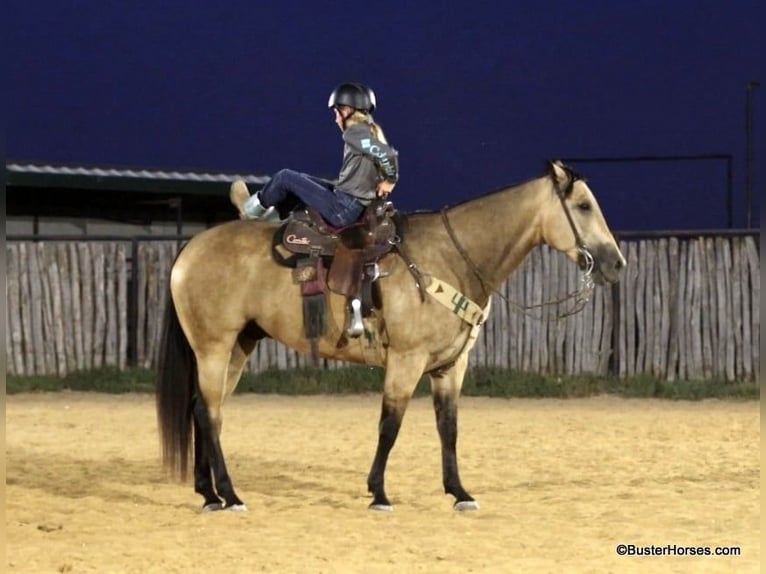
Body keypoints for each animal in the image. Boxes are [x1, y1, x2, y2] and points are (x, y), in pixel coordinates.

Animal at [156, 160, 626, 512]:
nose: (616, 263)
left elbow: (448, 427)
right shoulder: (406, 359)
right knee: (209, 413)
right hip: (214, 347)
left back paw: (209, 494)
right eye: (583, 205)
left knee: (204, 410)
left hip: (239, 346)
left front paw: (459, 493)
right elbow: (390, 423)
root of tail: (190, 248)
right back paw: (230, 495)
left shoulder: (451, 366)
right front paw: (379, 493)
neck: (451, 257)